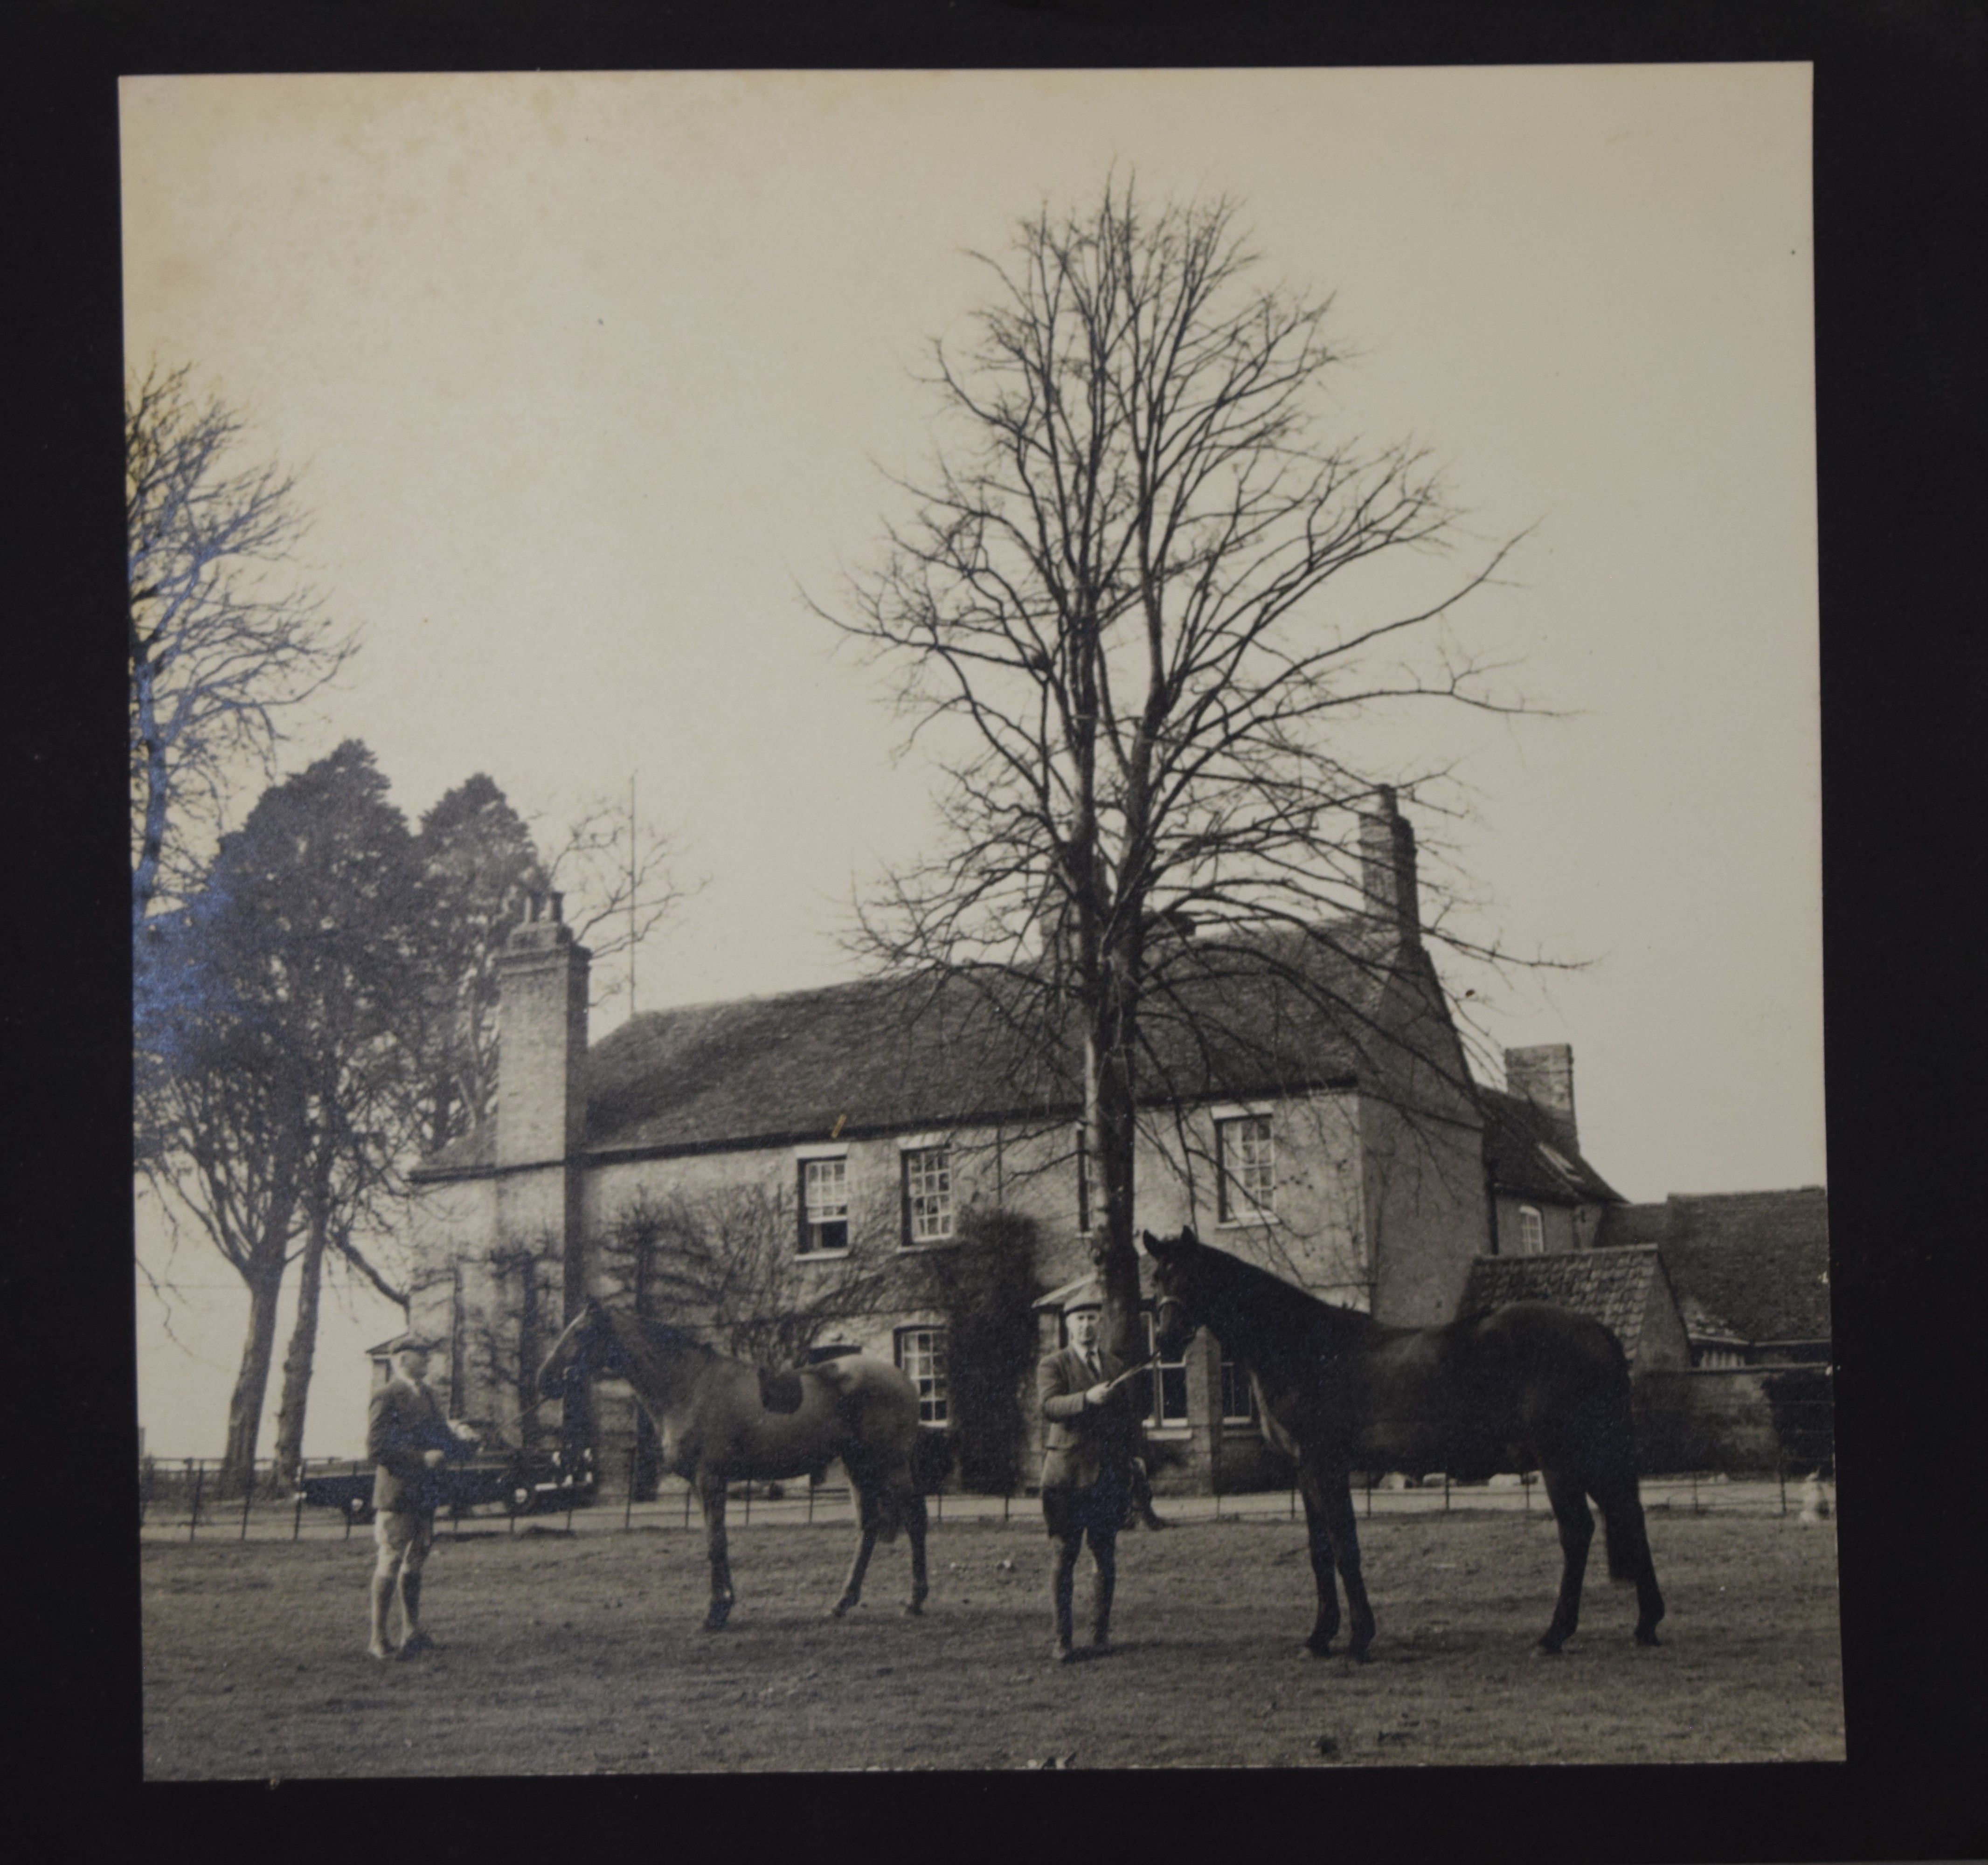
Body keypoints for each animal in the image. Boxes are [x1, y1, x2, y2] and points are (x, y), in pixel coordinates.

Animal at [537, 1304, 938, 1622]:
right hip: (859, 1466)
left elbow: (716, 1541)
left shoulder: (710, 1478)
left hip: (891, 1465)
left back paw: (915, 1601)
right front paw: (724, 1603)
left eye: (581, 1332)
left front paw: (716, 1611)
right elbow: (714, 1540)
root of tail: (905, 1380)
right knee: (869, 1527)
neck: (689, 1385)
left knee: (916, 1520)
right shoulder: (702, 1485)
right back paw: (842, 1603)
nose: (544, 1379)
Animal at [1137, 1224, 1662, 1646]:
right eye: (1157, 1280)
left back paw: (1555, 1633)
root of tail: (1598, 1331)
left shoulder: (1326, 1463)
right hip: (1594, 1457)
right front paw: (1321, 1635)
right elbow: (1320, 1549)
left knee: (1578, 1531)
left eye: (1190, 1276)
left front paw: (1358, 1636)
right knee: (1629, 1517)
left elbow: (1344, 1544)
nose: (1165, 1340)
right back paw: (1645, 1623)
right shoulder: (1306, 1469)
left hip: (1562, 1461)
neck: (1304, 1346)